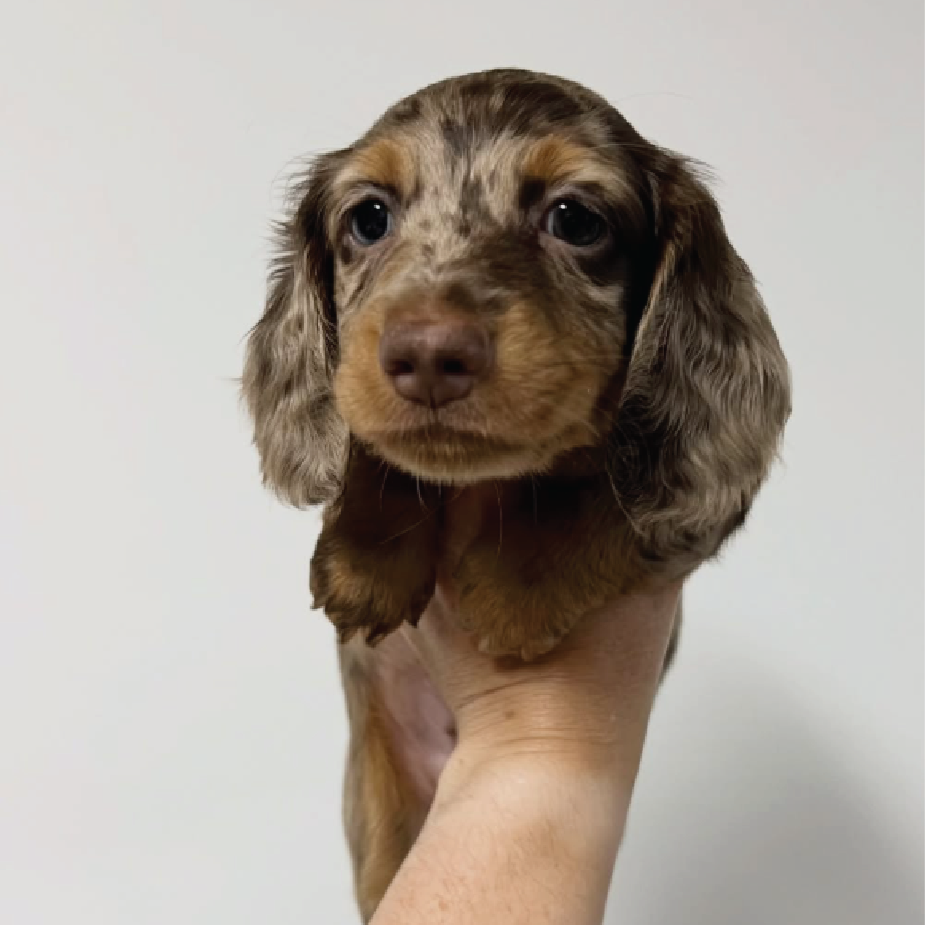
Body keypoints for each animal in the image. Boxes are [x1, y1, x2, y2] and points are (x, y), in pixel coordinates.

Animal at [243, 68, 791, 920]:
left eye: (574, 218)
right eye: (369, 217)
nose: (428, 354)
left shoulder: (691, 507)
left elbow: (596, 483)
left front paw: (516, 587)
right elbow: (380, 454)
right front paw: (365, 558)